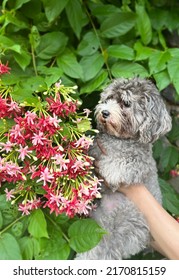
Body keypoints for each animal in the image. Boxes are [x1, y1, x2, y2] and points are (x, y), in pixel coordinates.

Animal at [76, 77, 172, 260]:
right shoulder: (96, 147)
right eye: (108, 99)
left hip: (122, 230)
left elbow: (125, 163)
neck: (118, 139)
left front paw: (108, 169)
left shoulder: (141, 164)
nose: (105, 112)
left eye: (126, 103)